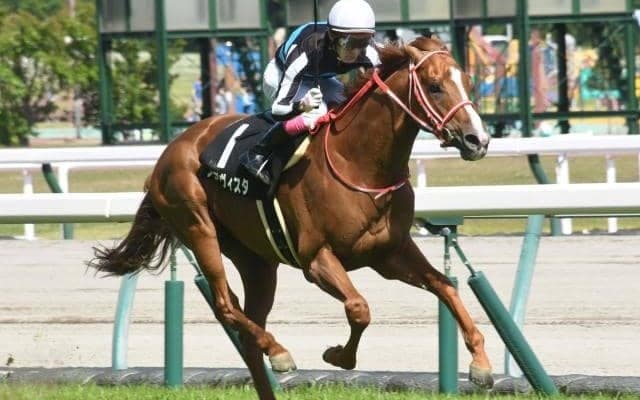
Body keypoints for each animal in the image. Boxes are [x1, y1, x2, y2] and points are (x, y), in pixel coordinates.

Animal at [89, 36, 492, 400]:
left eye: (467, 81)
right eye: (435, 86)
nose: (478, 140)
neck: (359, 163)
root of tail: (167, 154)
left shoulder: (389, 254)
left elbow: (445, 287)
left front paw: (481, 364)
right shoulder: (316, 258)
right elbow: (359, 308)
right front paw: (338, 356)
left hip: (256, 260)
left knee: (245, 324)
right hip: (197, 226)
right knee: (225, 305)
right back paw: (279, 351)